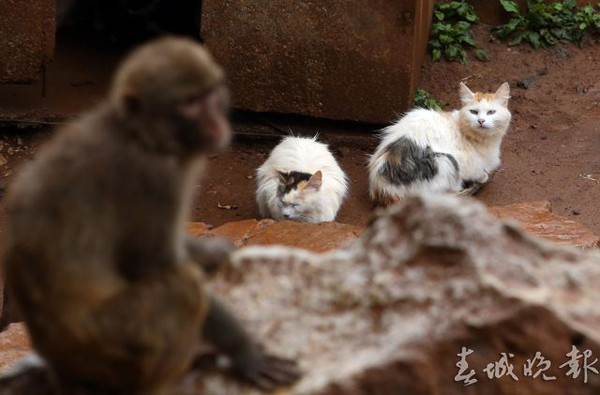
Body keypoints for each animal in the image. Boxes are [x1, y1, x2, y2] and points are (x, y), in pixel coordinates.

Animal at [0, 36, 300, 392]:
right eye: (189, 103)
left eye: (210, 95)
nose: (216, 121)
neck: (140, 134)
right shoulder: (155, 177)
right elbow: (156, 264)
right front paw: (245, 350)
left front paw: (215, 252)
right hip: (111, 348)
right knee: (181, 288)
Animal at [366, 82, 510, 206]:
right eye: (473, 112)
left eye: (491, 112)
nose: (481, 121)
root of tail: (383, 190)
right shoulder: (466, 163)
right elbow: (479, 173)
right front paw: (482, 177)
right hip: (446, 160)